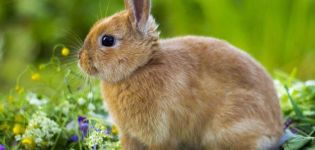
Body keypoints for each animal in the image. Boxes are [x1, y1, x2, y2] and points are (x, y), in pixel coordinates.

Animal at [79, 0, 284, 149]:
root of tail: (275, 130)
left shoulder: (159, 133)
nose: (81, 60)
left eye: (107, 40)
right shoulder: (129, 135)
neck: (141, 67)